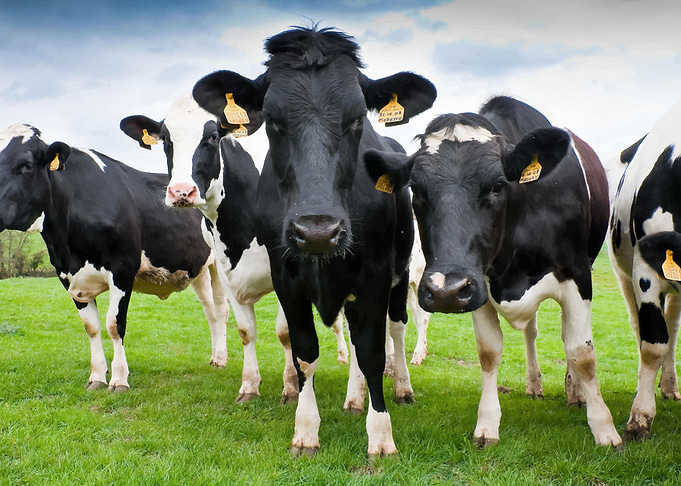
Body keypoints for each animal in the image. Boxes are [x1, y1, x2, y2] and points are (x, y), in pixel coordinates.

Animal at [0, 123, 228, 392]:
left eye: (26, 165)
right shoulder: (69, 278)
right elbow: (91, 327)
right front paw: (97, 376)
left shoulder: (122, 268)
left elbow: (114, 324)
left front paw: (119, 379)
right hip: (198, 268)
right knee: (209, 309)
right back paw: (214, 356)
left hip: (220, 265)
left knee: (221, 308)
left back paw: (221, 358)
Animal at [120, 96, 349, 403]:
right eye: (166, 140)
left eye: (213, 137)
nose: (181, 192)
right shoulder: (225, 269)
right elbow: (245, 331)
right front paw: (249, 386)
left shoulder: (284, 271)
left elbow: (285, 331)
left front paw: (291, 387)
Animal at [190, 26, 437, 457]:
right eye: (272, 120)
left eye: (357, 120)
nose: (317, 231)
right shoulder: (286, 278)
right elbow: (306, 352)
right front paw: (305, 430)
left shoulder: (374, 277)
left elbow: (373, 353)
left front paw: (381, 435)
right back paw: (353, 398)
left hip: (402, 272)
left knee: (396, 329)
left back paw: (400, 387)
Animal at [363, 96, 622, 447]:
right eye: (416, 189)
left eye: (498, 186)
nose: (445, 291)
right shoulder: (477, 284)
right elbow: (488, 352)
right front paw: (486, 425)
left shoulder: (577, 274)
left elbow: (582, 354)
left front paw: (605, 428)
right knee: (531, 333)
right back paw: (534, 384)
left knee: (566, 338)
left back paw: (575, 392)